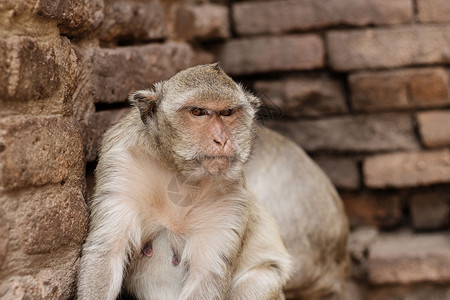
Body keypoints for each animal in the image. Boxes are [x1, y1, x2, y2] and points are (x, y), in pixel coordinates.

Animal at [78, 63, 292, 300]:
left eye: (227, 112)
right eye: (197, 112)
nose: (221, 140)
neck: (180, 174)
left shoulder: (232, 199)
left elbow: (206, 276)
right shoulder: (121, 165)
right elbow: (107, 252)